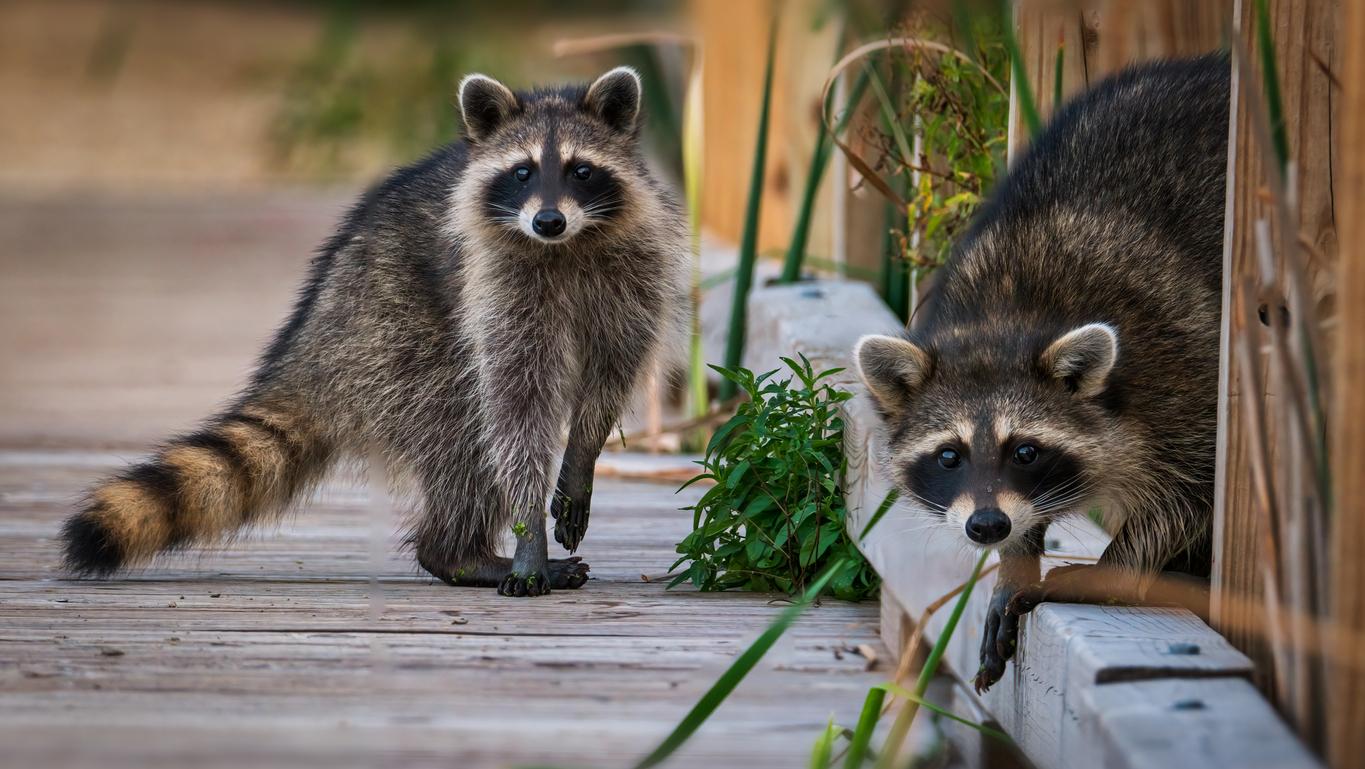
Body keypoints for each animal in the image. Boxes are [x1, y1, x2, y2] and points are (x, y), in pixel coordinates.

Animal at [58, 67, 687, 595]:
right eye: (522, 171)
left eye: (581, 170)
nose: (548, 220)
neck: (565, 246)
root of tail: (311, 340)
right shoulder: (495, 287)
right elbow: (516, 410)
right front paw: (527, 529)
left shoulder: (637, 269)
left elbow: (610, 374)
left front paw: (580, 459)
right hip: (394, 336)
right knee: (462, 434)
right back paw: (458, 553)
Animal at [851, 55, 1228, 691]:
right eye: (949, 456)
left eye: (1025, 451)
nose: (986, 527)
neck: (1008, 314)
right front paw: (1017, 559)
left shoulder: (1181, 368)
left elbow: (1187, 494)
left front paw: (1113, 571)